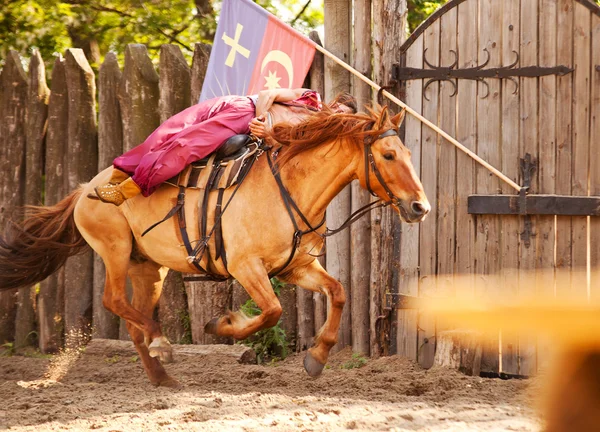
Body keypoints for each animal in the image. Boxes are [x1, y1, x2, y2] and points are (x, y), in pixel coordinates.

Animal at [0, 105, 432, 388]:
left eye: (410, 154)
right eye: (388, 155)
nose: (420, 207)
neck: (290, 188)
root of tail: (85, 188)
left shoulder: (298, 267)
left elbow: (338, 293)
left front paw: (317, 357)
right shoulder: (246, 266)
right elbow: (272, 312)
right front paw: (222, 324)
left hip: (148, 267)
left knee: (134, 320)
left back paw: (162, 374)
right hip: (116, 251)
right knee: (113, 300)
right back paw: (163, 345)